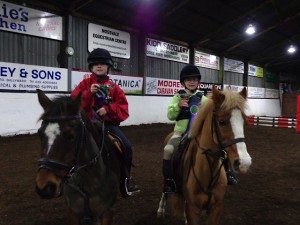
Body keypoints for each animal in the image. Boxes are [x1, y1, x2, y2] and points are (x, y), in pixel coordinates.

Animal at [158, 85, 252, 224]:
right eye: (222, 122)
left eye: (243, 121)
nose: (244, 163)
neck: (208, 170)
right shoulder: (193, 209)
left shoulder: (216, 208)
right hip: (167, 167)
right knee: (165, 187)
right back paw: (161, 209)